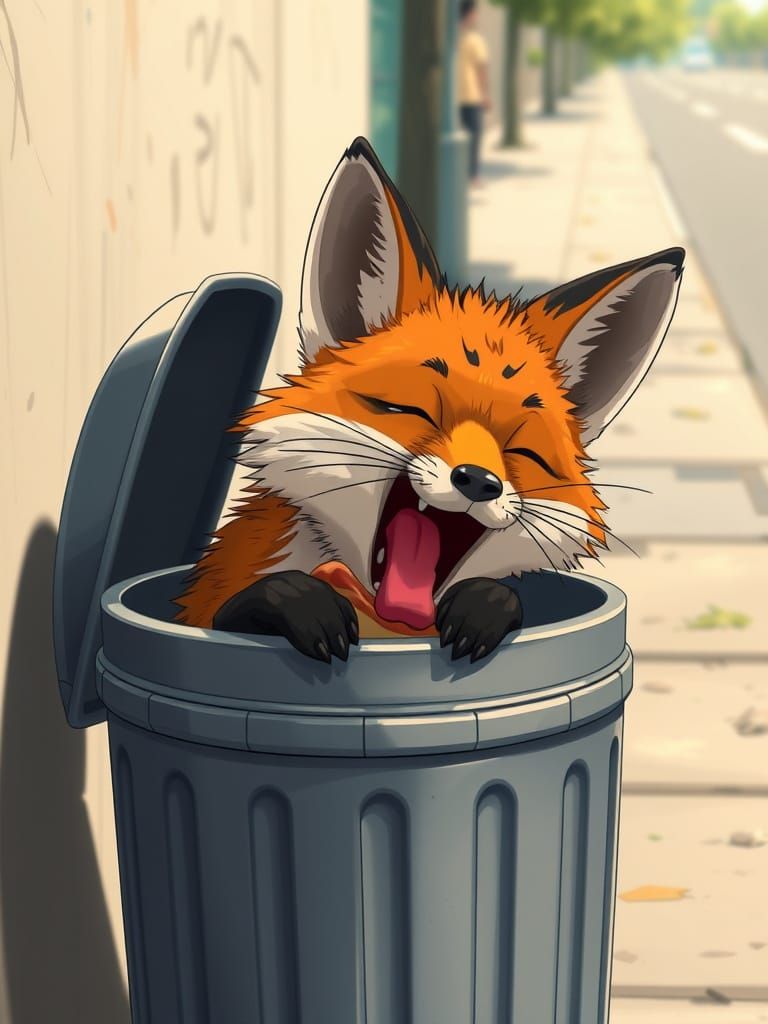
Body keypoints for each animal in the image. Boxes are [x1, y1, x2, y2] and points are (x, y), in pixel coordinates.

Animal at [175, 136, 684, 665]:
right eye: (409, 410)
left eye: (522, 452)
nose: (478, 481)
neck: (384, 626)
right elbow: (240, 607)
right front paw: (297, 602)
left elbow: (497, 597)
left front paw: (486, 604)